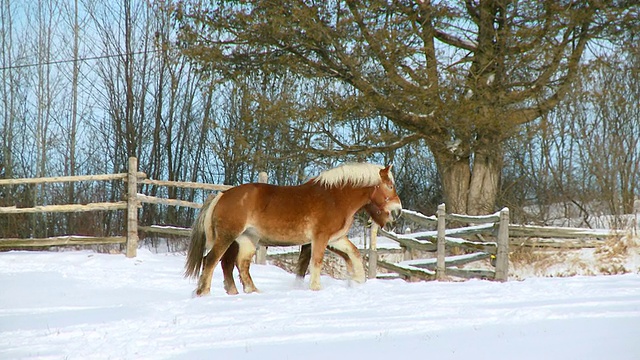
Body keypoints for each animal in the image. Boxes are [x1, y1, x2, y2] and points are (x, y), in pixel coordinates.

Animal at [185, 163, 400, 296]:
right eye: (390, 185)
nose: (397, 211)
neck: (335, 198)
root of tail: (222, 195)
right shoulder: (320, 238)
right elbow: (316, 262)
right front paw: (316, 288)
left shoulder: (335, 239)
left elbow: (354, 254)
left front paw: (357, 281)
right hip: (227, 236)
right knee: (211, 260)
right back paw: (204, 292)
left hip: (247, 239)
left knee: (240, 264)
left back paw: (251, 291)